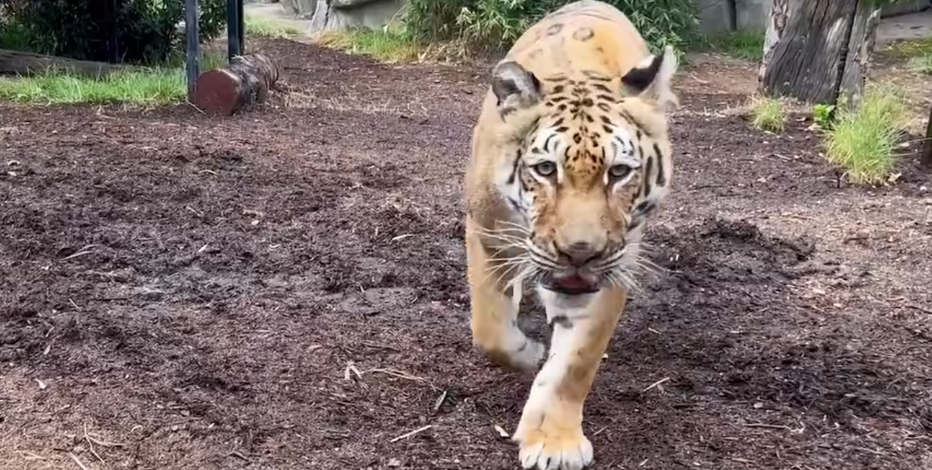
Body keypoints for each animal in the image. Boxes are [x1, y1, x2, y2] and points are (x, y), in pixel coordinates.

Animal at [462, 1, 679, 469]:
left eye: (619, 172)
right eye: (546, 169)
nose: (580, 252)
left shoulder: (615, 265)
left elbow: (576, 361)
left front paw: (554, 442)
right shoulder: (487, 231)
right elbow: (490, 328)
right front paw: (527, 352)